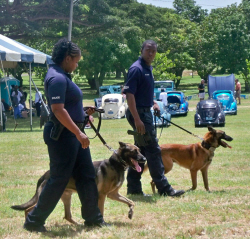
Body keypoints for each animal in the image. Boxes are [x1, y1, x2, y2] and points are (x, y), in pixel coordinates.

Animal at [11, 142, 146, 224]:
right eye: (134, 151)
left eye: (139, 150)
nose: (144, 159)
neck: (117, 163)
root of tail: (45, 175)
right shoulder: (102, 195)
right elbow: (101, 210)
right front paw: (101, 222)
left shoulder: (113, 194)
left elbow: (131, 202)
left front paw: (130, 213)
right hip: (49, 197)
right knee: (28, 210)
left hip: (66, 197)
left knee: (67, 216)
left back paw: (78, 224)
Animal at [123, 39, 185, 198]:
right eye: (147, 50)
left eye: (152, 50)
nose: (150, 54)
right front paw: (169, 190)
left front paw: (156, 106)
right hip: (146, 133)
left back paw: (136, 190)